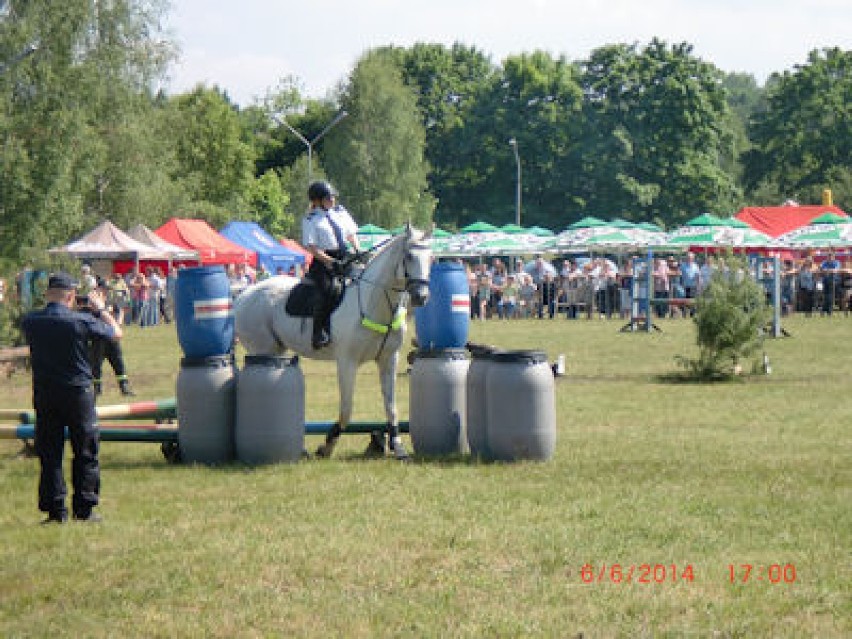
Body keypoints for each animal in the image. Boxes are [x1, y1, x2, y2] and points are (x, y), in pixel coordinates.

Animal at [235, 225, 430, 460]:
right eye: (409, 256)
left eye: (431, 257)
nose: (421, 296)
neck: (373, 301)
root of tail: (244, 294)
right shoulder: (347, 362)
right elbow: (346, 409)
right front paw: (326, 446)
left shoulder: (388, 359)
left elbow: (391, 406)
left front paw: (399, 447)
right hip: (263, 349)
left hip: (277, 350)